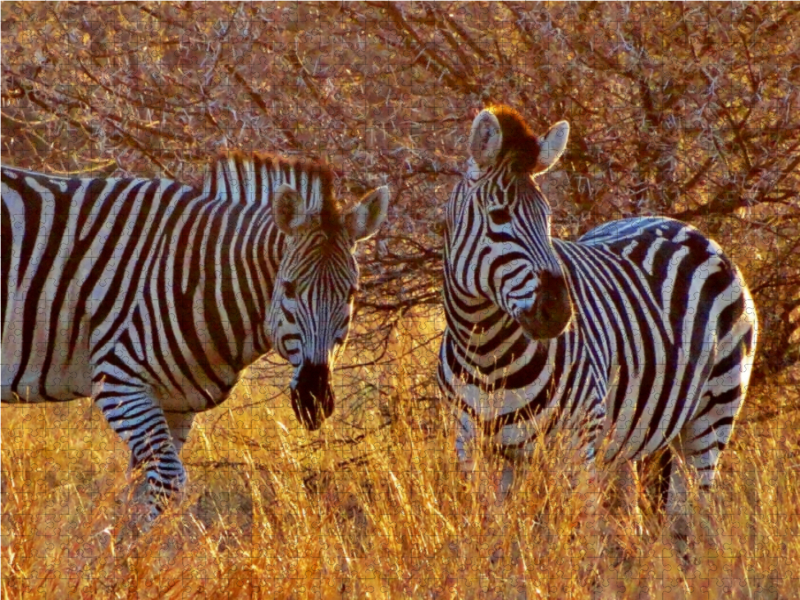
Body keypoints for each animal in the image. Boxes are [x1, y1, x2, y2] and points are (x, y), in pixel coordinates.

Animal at [2, 155, 390, 520]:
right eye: (290, 288)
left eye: (352, 293)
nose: (314, 399)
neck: (201, 276)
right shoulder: (119, 382)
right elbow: (168, 482)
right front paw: (136, 549)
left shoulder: (175, 402)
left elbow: (139, 495)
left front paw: (124, 547)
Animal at [440, 104, 760, 548]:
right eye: (498, 216)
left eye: (547, 218)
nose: (558, 311)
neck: (487, 352)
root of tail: (688, 228)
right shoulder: (470, 445)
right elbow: (497, 540)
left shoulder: (575, 446)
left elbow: (574, 542)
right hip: (627, 438)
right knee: (636, 519)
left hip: (711, 416)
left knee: (690, 519)